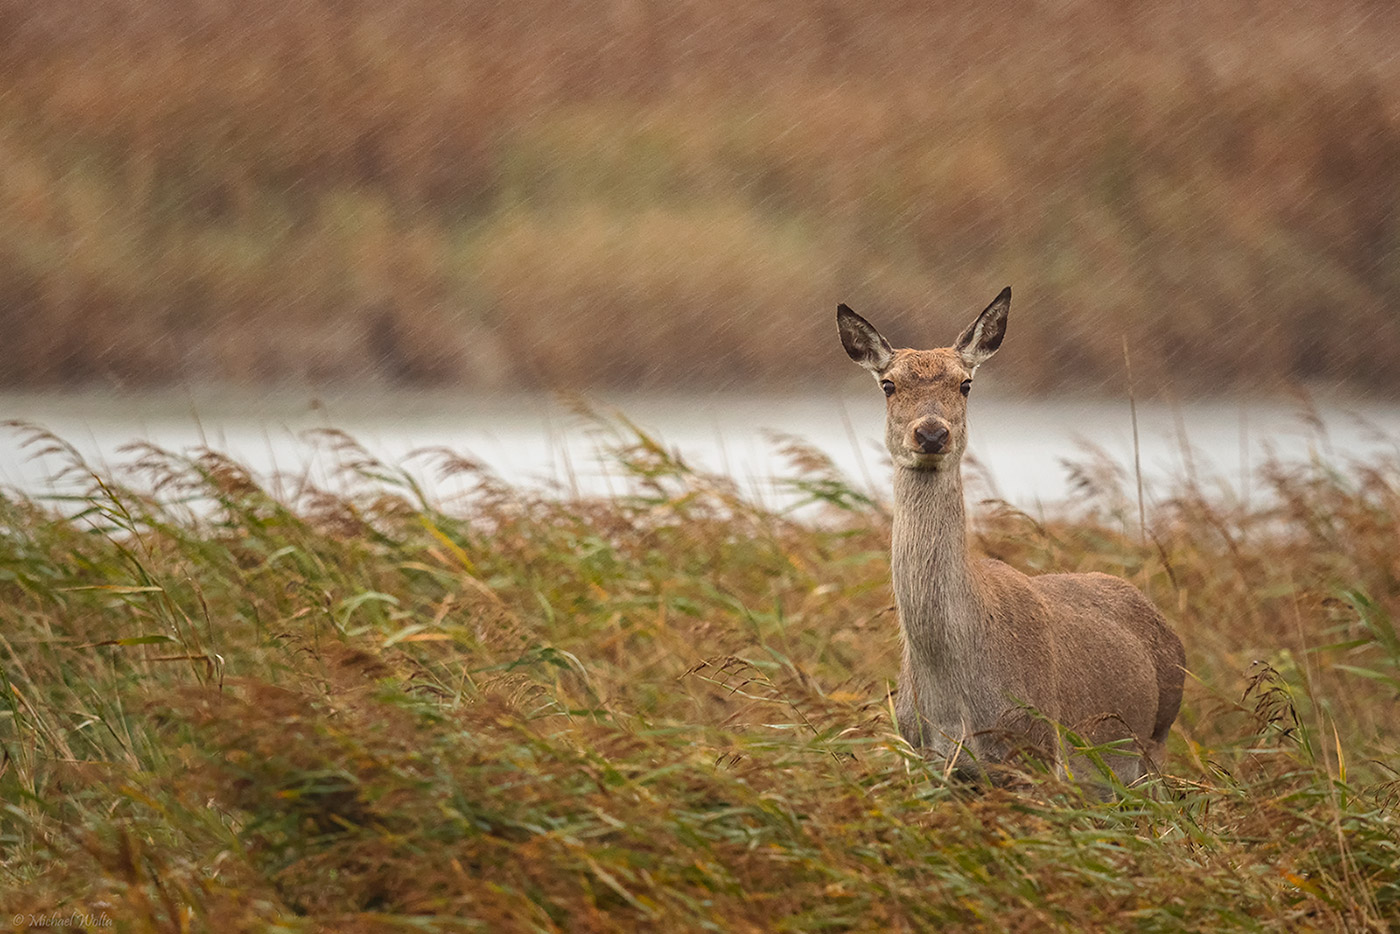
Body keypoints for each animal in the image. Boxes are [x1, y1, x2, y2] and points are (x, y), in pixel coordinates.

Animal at [834, 288, 1187, 784]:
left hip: (1155, 741)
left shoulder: (1036, 750)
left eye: (965, 383)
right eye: (889, 384)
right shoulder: (923, 758)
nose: (931, 434)